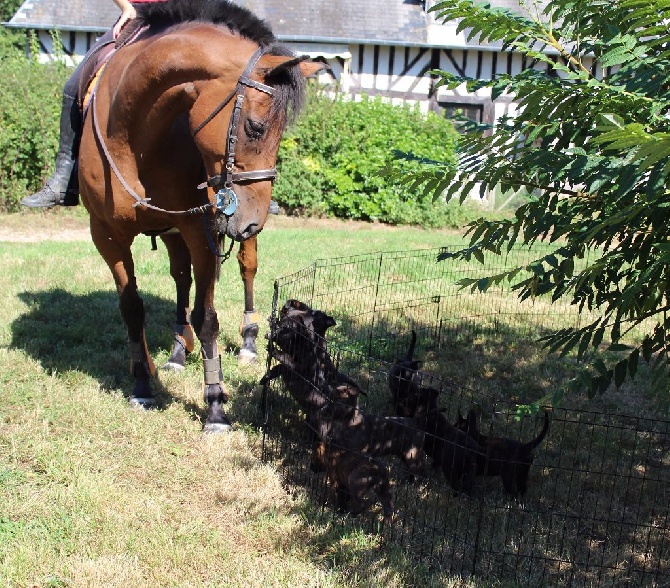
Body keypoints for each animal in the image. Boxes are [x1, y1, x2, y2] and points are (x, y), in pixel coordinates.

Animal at [79, 0, 326, 432]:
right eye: (255, 127)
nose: (252, 221)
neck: (131, 134)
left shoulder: (200, 229)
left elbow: (207, 316)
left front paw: (214, 406)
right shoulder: (107, 236)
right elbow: (133, 309)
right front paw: (142, 383)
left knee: (246, 268)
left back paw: (247, 339)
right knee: (181, 277)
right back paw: (178, 351)